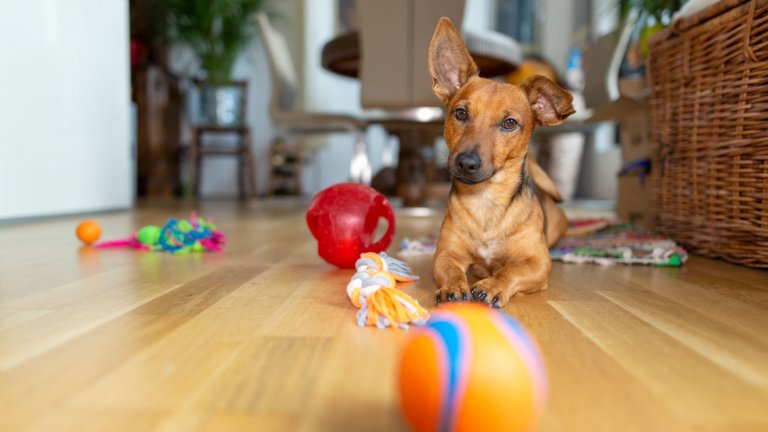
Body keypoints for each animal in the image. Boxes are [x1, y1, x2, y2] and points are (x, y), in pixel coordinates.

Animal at [428, 17, 572, 308]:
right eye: (460, 113)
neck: (486, 202)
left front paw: (493, 285)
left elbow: (510, 271)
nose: (466, 163)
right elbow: (451, 271)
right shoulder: (445, 254)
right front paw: (453, 286)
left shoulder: (538, 263)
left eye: (509, 123)